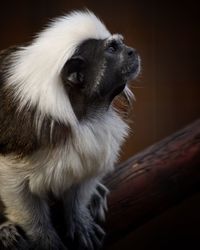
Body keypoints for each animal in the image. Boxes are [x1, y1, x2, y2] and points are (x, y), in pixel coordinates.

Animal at [0, 10, 141, 250]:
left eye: (121, 44)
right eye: (113, 49)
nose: (132, 51)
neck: (82, 113)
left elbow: (84, 173)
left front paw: (78, 216)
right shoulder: (20, 135)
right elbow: (13, 186)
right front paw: (43, 238)